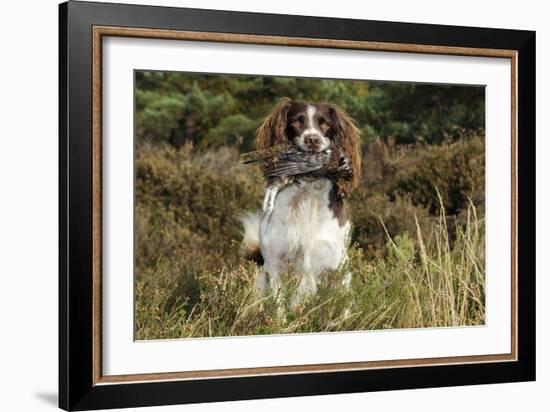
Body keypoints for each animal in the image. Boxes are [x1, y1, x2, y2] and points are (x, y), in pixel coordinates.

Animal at [240, 96, 362, 308]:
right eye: (296, 122)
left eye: (325, 124)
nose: (312, 139)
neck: (307, 193)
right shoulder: (275, 262)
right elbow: (280, 307)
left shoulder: (334, 261)